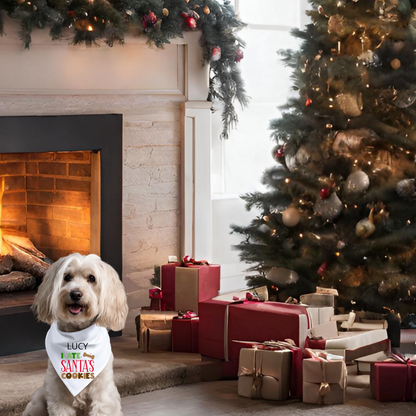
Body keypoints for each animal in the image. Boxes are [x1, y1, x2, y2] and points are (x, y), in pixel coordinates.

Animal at [23, 254, 127, 416]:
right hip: (38, 403)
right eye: (67, 277)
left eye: (91, 278)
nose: (75, 294)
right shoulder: (58, 394)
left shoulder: (102, 393)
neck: (77, 334)